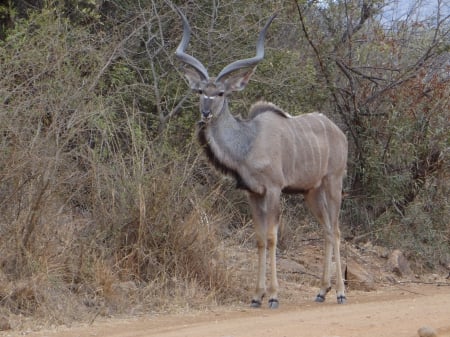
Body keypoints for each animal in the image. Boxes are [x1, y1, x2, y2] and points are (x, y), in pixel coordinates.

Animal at [175, 8, 348, 308]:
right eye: (200, 91)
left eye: (221, 93)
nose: (206, 112)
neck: (248, 141)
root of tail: (340, 133)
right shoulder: (253, 194)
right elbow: (258, 239)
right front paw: (256, 296)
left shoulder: (274, 190)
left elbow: (271, 238)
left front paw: (274, 296)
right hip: (311, 193)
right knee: (326, 230)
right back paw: (320, 291)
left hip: (333, 183)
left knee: (336, 231)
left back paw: (339, 292)